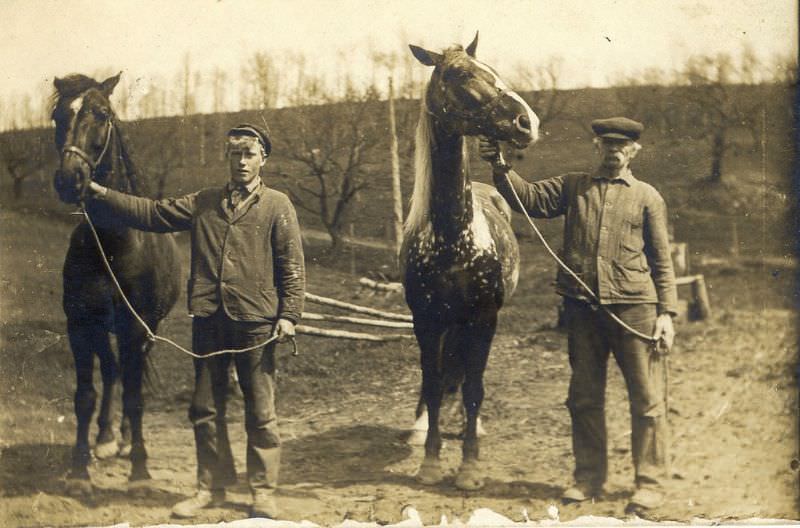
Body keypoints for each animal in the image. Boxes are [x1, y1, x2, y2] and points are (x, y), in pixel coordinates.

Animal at [51, 73, 181, 496]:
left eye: (103, 114)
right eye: (58, 115)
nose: (69, 179)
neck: (112, 243)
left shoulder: (134, 328)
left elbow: (136, 396)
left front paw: (140, 470)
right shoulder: (80, 325)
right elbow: (85, 395)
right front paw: (79, 470)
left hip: (146, 330)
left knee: (126, 374)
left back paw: (123, 440)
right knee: (111, 372)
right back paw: (106, 438)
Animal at [401, 33, 539, 490]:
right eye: (460, 74)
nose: (527, 122)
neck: (451, 237)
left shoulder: (483, 317)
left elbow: (473, 386)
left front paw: (469, 467)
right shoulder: (425, 319)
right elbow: (432, 380)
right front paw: (429, 460)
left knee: (466, 377)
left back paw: (470, 427)